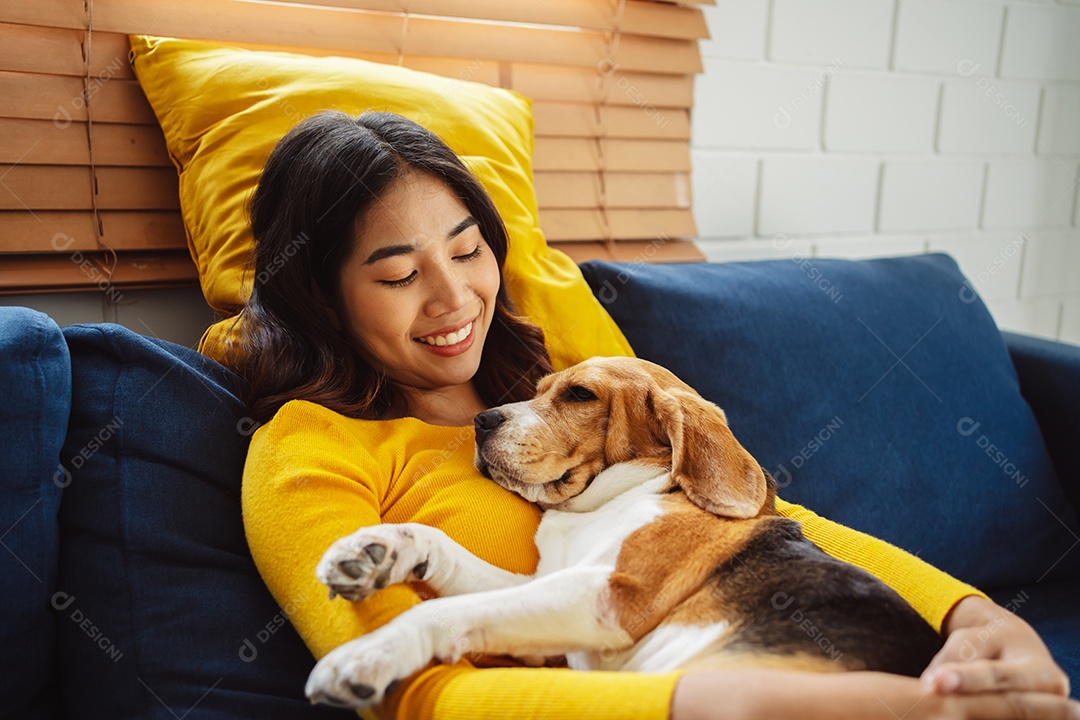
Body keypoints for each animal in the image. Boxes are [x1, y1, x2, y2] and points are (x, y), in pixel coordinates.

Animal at [306, 358, 946, 708]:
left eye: (579, 394)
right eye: (539, 388)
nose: (481, 420)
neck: (601, 505)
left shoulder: (609, 596)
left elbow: (441, 611)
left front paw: (369, 654)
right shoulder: (552, 585)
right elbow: (447, 557)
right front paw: (378, 551)